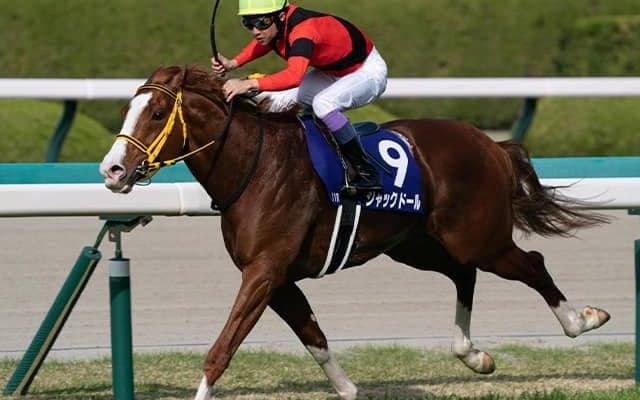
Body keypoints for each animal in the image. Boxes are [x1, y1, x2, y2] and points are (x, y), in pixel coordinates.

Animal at [99, 65, 611, 400]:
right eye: (126, 108)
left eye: (157, 112)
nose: (112, 170)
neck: (256, 166)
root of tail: (491, 143)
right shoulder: (276, 278)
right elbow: (315, 338)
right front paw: (350, 389)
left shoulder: (264, 272)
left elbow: (221, 350)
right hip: (417, 244)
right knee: (463, 274)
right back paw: (473, 354)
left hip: (479, 237)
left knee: (530, 264)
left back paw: (582, 320)